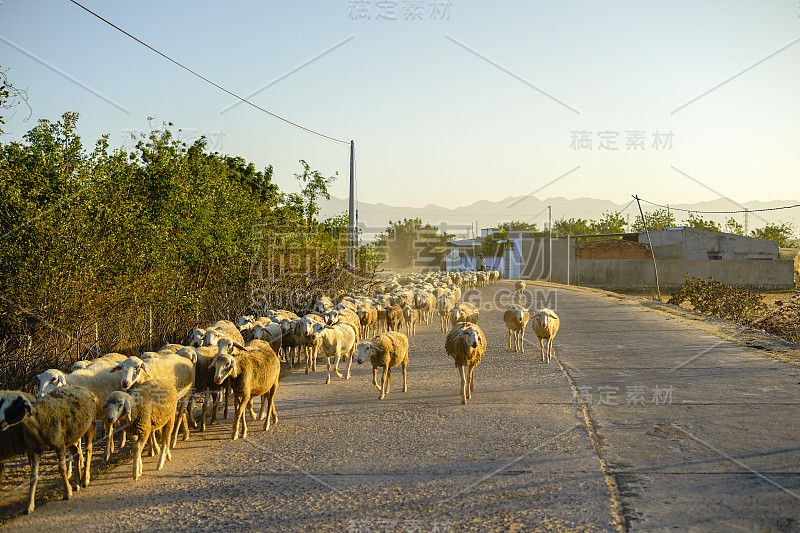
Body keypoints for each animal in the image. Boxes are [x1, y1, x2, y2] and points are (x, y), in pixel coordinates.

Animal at [0, 384, 96, 512]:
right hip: (70, 437)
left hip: (89, 426)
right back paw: (77, 484)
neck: (39, 420)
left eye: (15, 406)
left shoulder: (59, 446)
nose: (0, 423)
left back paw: (85, 480)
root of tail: (83, 388)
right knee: (75, 452)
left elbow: (62, 469)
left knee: (89, 451)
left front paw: (67, 492)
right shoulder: (35, 450)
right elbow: (33, 477)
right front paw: (29, 506)